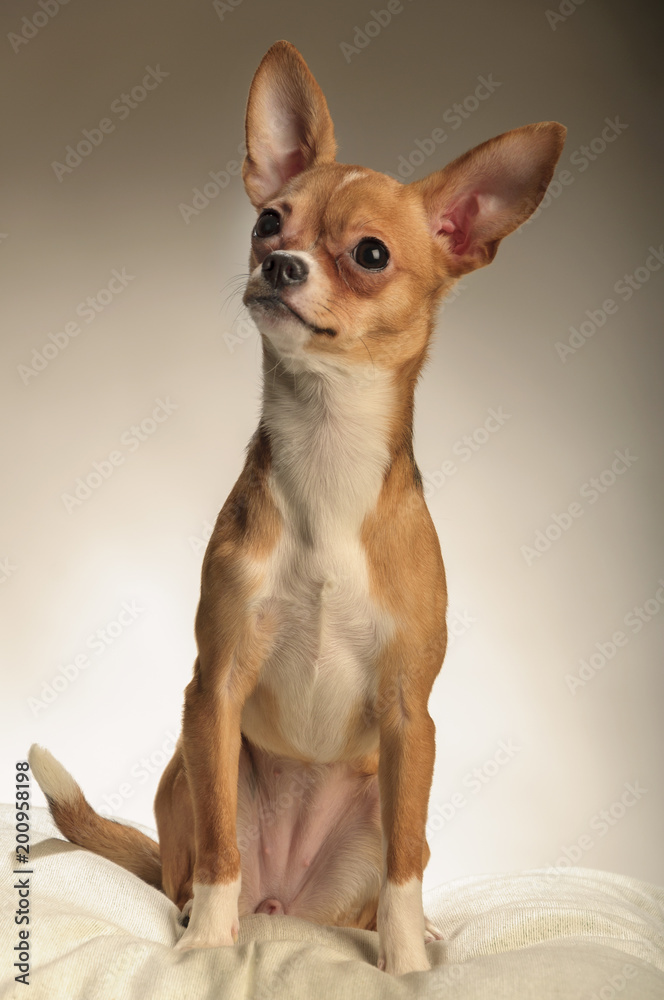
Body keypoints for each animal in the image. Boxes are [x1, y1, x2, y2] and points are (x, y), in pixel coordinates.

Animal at [28, 41, 564, 976]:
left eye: (371, 254)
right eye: (268, 222)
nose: (279, 264)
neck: (325, 449)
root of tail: (289, 903)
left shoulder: (410, 719)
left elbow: (406, 865)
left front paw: (409, 965)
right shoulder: (214, 691)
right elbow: (218, 855)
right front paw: (207, 946)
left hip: (372, 805)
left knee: (387, 872)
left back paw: (407, 930)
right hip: (190, 770)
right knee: (193, 864)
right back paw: (201, 913)